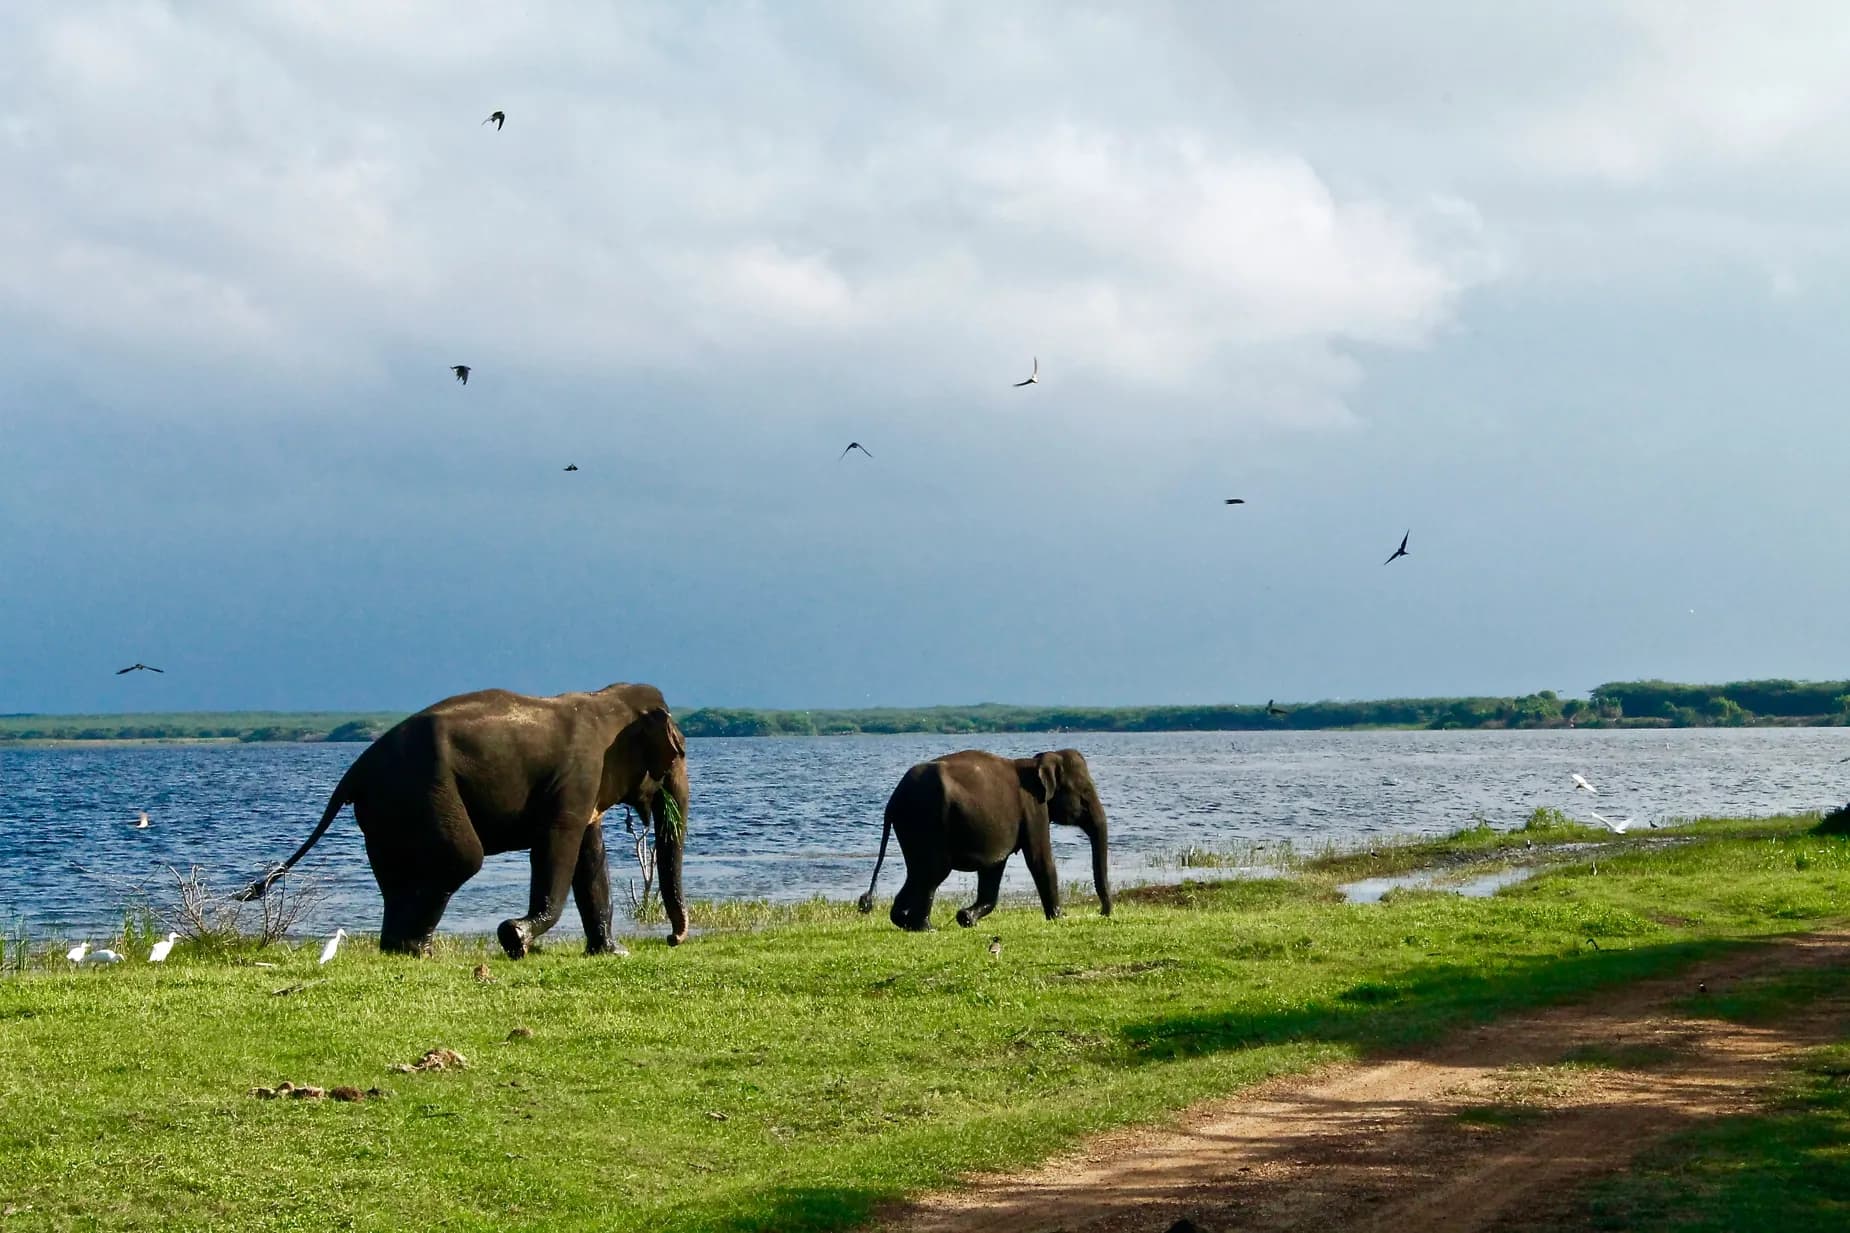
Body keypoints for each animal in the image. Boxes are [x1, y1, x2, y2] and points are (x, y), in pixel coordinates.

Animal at [235, 681, 689, 958]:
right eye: (679, 752)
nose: (673, 938)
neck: (605, 699)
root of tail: (354, 772)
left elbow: (590, 858)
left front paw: (613, 952)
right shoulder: (577, 779)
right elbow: (557, 846)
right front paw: (515, 938)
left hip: (386, 814)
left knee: (399, 878)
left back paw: (401, 949)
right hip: (422, 794)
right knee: (461, 859)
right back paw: (419, 950)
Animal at [857, 748, 1112, 931]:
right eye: (1084, 794)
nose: (1102, 912)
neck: (1039, 761)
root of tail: (892, 801)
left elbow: (993, 867)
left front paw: (966, 918)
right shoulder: (1034, 809)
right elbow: (1040, 860)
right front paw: (1059, 917)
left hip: (911, 827)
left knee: (917, 872)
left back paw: (902, 921)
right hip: (927, 820)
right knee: (933, 872)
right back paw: (926, 928)